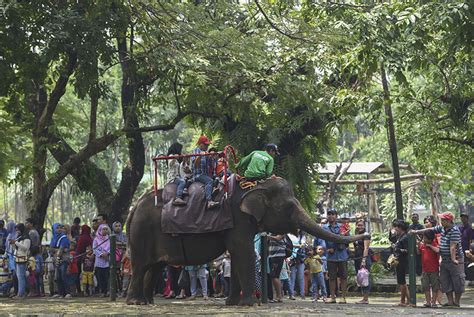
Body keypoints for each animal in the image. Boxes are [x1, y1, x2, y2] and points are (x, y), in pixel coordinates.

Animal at [127, 177, 370, 304]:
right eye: (289, 206)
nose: (367, 235)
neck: (254, 185)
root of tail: (133, 207)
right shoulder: (238, 218)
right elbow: (243, 252)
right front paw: (248, 304)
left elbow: (237, 255)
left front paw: (232, 303)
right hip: (142, 233)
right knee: (141, 266)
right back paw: (135, 302)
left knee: (155, 267)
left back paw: (147, 302)